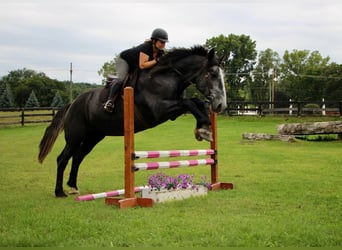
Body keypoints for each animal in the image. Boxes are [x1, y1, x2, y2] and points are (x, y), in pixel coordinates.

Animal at [38, 45, 227, 197]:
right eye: (213, 74)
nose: (220, 105)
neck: (166, 78)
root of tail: (73, 103)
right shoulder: (160, 111)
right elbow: (190, 103)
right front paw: (204, 129)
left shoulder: (172, 109)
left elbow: (196, 102)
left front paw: (203, 127)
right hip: (75, 137)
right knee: (63, 158)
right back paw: (59, 192)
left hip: (94, 137)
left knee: (78, 157)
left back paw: (73, 186)